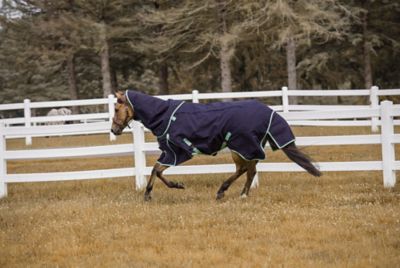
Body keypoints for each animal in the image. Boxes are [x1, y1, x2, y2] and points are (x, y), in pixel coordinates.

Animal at [110, 90, 322, 201]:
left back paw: (233, 193)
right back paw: (231, 192)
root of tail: (269, 112)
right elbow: (157, 170)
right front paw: (160, 190)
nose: (114, 129)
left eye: (117, 108)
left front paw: (165, 189)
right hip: (243, 147)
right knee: (247, 170)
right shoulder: (171, 152)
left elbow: (157, 170)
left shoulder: (179, 151)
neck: (164, 115)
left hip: (241, 145)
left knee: (247, 170)